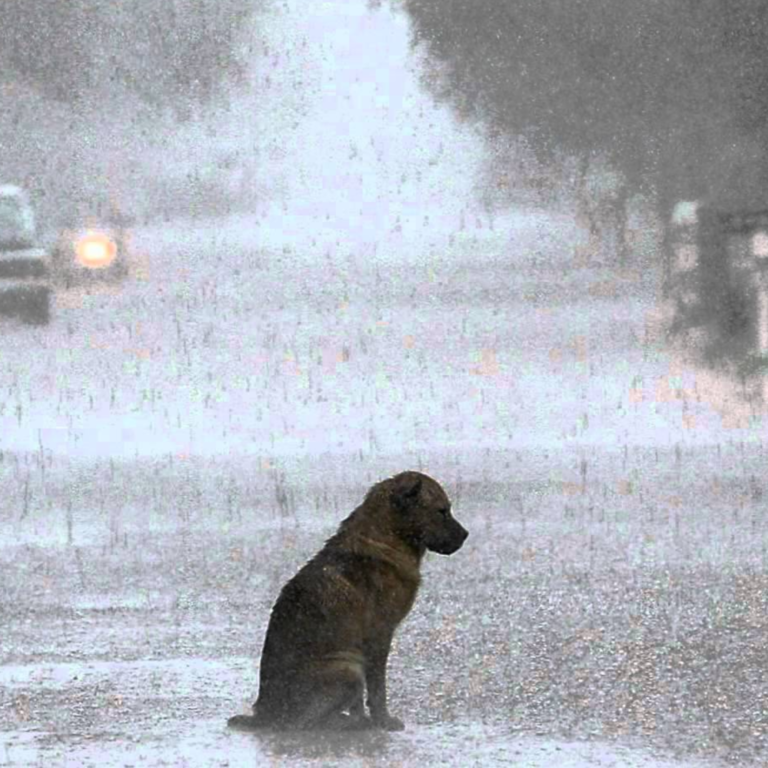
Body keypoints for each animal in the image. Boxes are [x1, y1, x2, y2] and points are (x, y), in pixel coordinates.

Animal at [228, 472, 468, 728]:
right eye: (442, 511)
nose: (466, 535)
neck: (386, 539)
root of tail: (264, 713)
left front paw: (365, 717)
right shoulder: (379, 636)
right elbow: (377, 688)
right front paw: (382, 720)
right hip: (348, 669)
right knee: (305, 723)